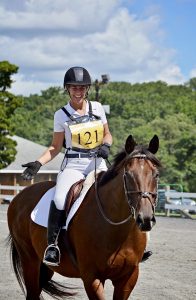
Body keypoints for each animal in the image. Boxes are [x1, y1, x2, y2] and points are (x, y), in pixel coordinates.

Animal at [6, 135, 162, 298]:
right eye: (128, 175)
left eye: (156, 175)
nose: (145, 219)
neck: (116, 228)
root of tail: (20, 196)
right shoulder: (92, 278)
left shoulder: (128, 278)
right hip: (29, 260)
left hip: (46, 267)